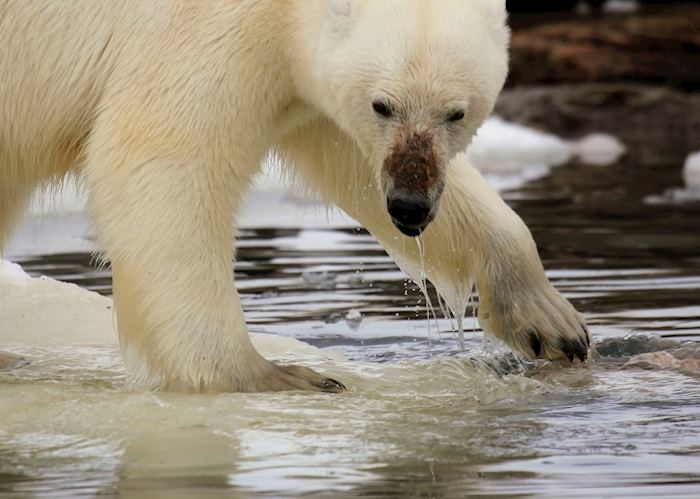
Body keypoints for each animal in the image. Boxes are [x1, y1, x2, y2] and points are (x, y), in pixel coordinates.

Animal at [0, 0, 591, 392]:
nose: (410, 207)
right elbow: (159, 158)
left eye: (456, 112)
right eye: (383, 104)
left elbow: (349, 157)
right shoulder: (201, 31)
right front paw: (275, 376)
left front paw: (551, 323)